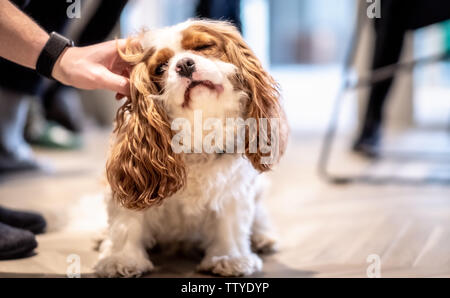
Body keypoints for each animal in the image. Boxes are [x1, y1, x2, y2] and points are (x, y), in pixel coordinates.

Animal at [95, 20, 288, 278]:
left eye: (203, 46)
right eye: (161, 67)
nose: (185, 64)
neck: (199, 126)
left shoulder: (233, 189)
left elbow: (230, 224)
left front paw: (229, 257)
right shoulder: (131, 185)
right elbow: (127, 223)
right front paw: (121, 259)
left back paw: (262, 237)